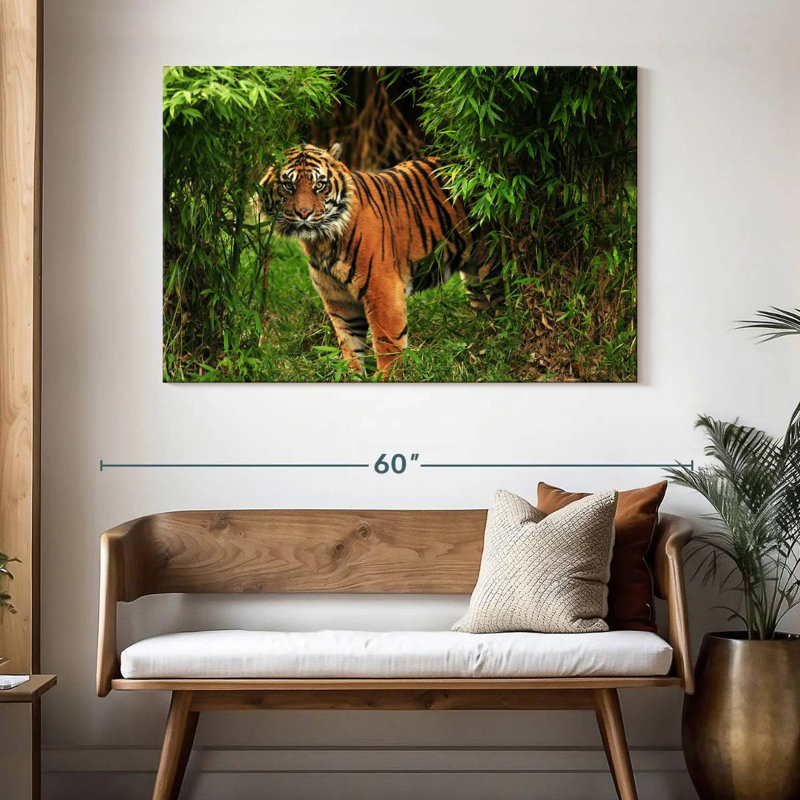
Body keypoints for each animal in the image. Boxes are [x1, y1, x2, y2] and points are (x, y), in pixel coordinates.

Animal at [259, 143, 499, 378]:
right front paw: (352, 377)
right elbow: (350, 347)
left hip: (494, 266)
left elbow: (388, 345)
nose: (304, 213)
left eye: (319, 185)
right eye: (287, 186)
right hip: (474, 279)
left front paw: (387, 377)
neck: (321, 241)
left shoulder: (383, 290)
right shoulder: (339, 299)